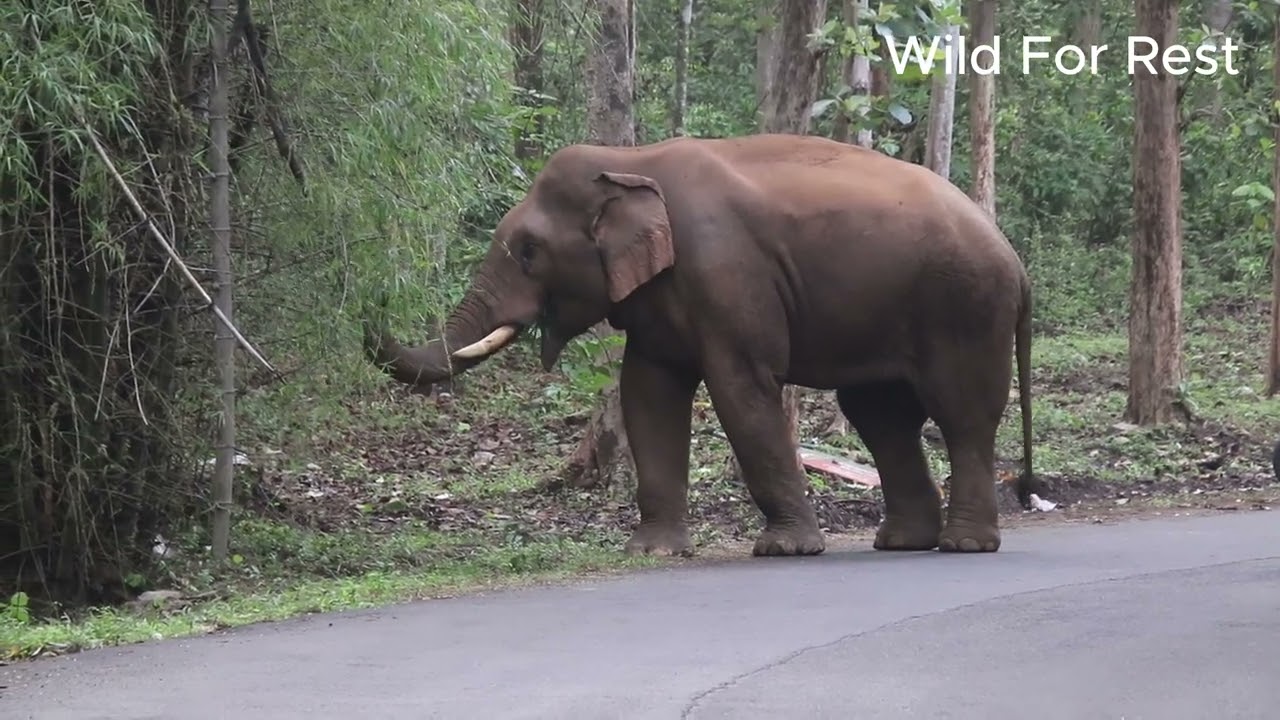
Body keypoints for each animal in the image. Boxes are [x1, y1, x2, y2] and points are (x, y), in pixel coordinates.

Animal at [363, 132, 1037, 558]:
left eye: (529, 252)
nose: (371, 300)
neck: (629, 161)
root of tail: (1014, 258)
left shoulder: (726, 272)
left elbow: (742, 388)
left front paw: (785, 549)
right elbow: (648, 394)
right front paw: (652, 552)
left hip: (965, 307)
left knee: (960, 414)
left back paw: (964, 544)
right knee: (882, 415)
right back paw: (901, 543)